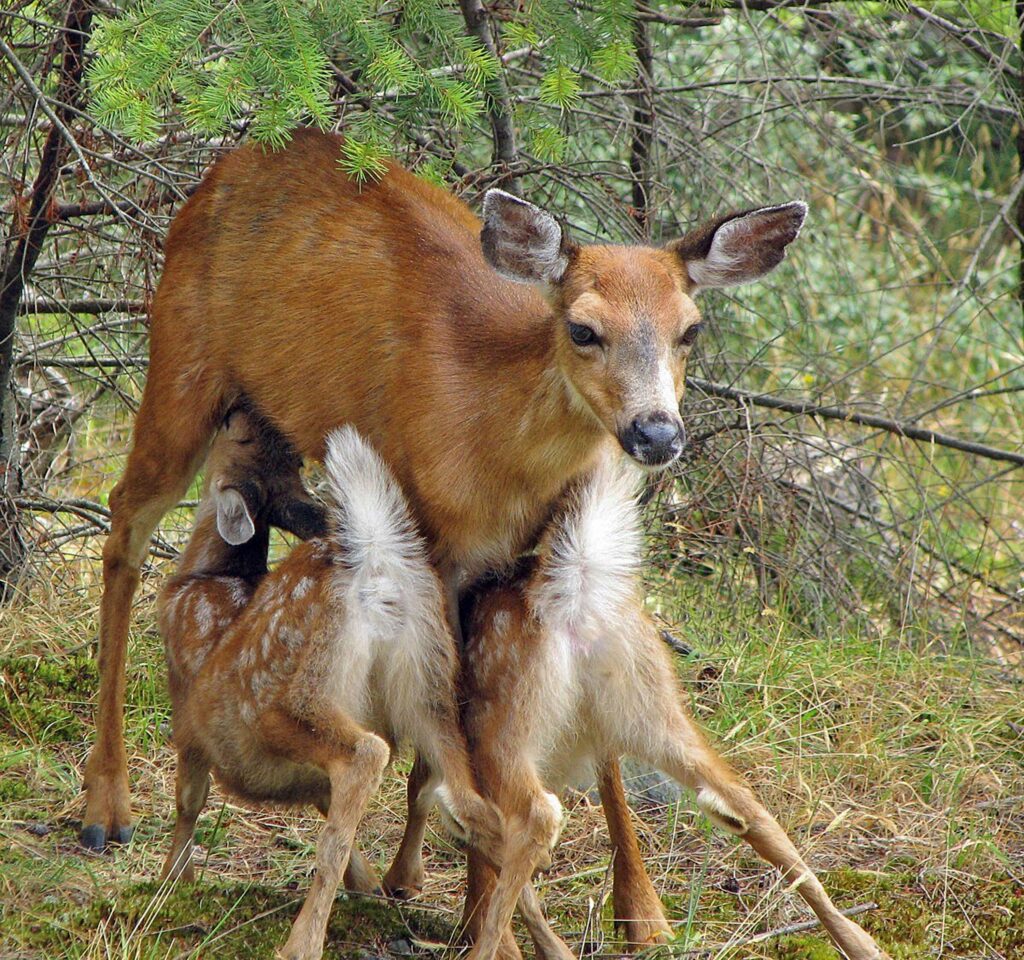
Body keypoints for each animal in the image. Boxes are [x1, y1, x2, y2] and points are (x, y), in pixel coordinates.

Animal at [82, 126, 808, 850]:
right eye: (583, 329)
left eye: (691, 330)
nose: (657, 433)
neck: (498, 447)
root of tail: (227, 165)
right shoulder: (436, 542)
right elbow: (436, 730)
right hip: (180, 361)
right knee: (125, 526)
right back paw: (106, 808)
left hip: (269, 423)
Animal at [157, 406, 505, 960]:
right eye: (278, 450)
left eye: (239, 436)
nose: (240, 408)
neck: (203, 577)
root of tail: (377, 561)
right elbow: (327, 809)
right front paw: (367, 887)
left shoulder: (188, 717)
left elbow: (189, 801)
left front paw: (173, 881)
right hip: (431, 685)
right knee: (484, 808)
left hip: (292, 703)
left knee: (365, 754)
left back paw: (302, 941)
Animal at [429, 457, 890, 960]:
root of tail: (573, 595)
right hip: (652, 704)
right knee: (745, 801)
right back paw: (862, 944)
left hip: (506, 719)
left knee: (537, 815)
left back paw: (493, 946)